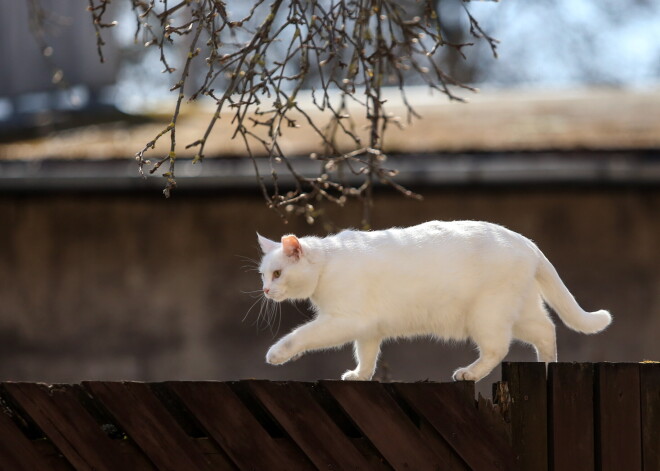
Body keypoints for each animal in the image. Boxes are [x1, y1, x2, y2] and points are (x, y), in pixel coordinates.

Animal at [255, 222, 612, 384]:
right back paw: (548, 367)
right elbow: (367, 355)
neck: (327, 263)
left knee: (498, 348)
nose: (266, 290)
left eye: (277, 273)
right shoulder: (368, 327)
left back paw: (468, 373)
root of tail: (526, 241)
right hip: (520, 313)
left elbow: (301, 336)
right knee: (547, 330)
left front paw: (276, 354)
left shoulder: (344, 320)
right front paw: (359, 375)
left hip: (486, 316)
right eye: (263, 275)